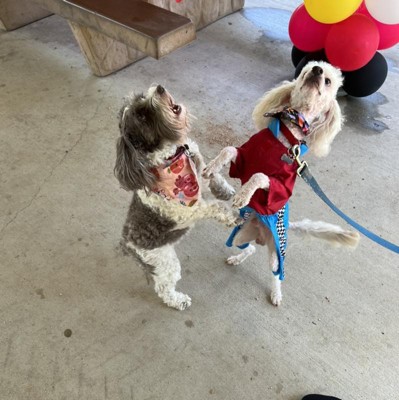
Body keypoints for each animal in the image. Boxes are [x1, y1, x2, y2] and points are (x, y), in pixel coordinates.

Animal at [114, 83, 238, 310]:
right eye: (142, 116)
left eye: (142, 96)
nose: (160, 88)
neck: (174, 156)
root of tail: (127, 244)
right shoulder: (187, 211)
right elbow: (213, 206)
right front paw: (232, 216)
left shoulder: (196, 163)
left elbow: (210, 173)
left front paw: (223, 190)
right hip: (164, 262)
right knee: (164, 288)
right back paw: (178, 301)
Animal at [205, 61, 360, 306]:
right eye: (307, 70)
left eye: (328, 81)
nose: (317, 70)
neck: (288, 132)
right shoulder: (244, 159)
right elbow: (229, 150)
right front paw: (212, 167)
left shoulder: (280, 186)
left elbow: (260, 176)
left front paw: (244, 195)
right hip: (240, 234)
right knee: (249, 249)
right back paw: (237, 257)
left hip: (276, 254)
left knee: (276, 274)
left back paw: (276, 294)